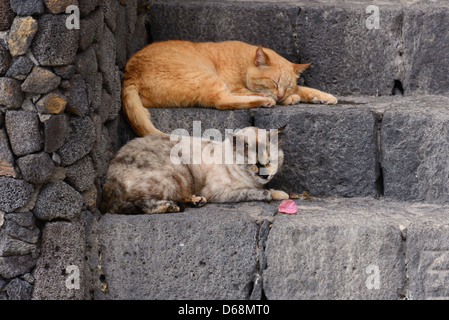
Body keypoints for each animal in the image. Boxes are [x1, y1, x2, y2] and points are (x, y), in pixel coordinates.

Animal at [101, 125, 288, 215]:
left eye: (270, 161)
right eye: (254, 164)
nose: (265, 175)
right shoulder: (221, 192)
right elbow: (257, 192)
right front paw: (275, 194)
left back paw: (196, 200)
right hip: (177, 175)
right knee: (134, 204)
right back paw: (173, 206)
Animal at [121, 39, 334, 136]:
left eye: (288, 86)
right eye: (273, 83)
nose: (282, 95)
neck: (242, 62)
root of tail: (129, 72)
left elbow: (303, 90)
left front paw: (323, 96)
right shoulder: (237, 88)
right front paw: (288, 99)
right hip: (207, 77)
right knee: (222, 101)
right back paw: (265, 101)